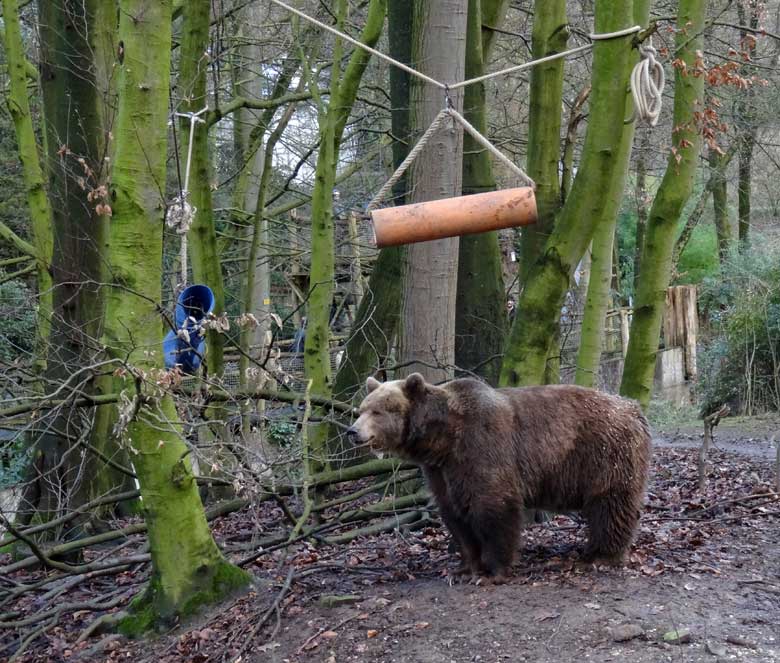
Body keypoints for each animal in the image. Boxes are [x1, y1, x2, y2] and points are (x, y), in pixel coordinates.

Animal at [348, 376, 652, 584]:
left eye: (377, 411)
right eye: (361, 409)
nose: (353, 431)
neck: (444, 439)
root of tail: (633, 408)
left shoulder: (483, 446)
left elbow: (492, 506)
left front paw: (493, 570)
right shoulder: (441, 471)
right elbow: (454, 513)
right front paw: (464, 567)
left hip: (605, 453)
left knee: (610, 503)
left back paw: (602, 555)